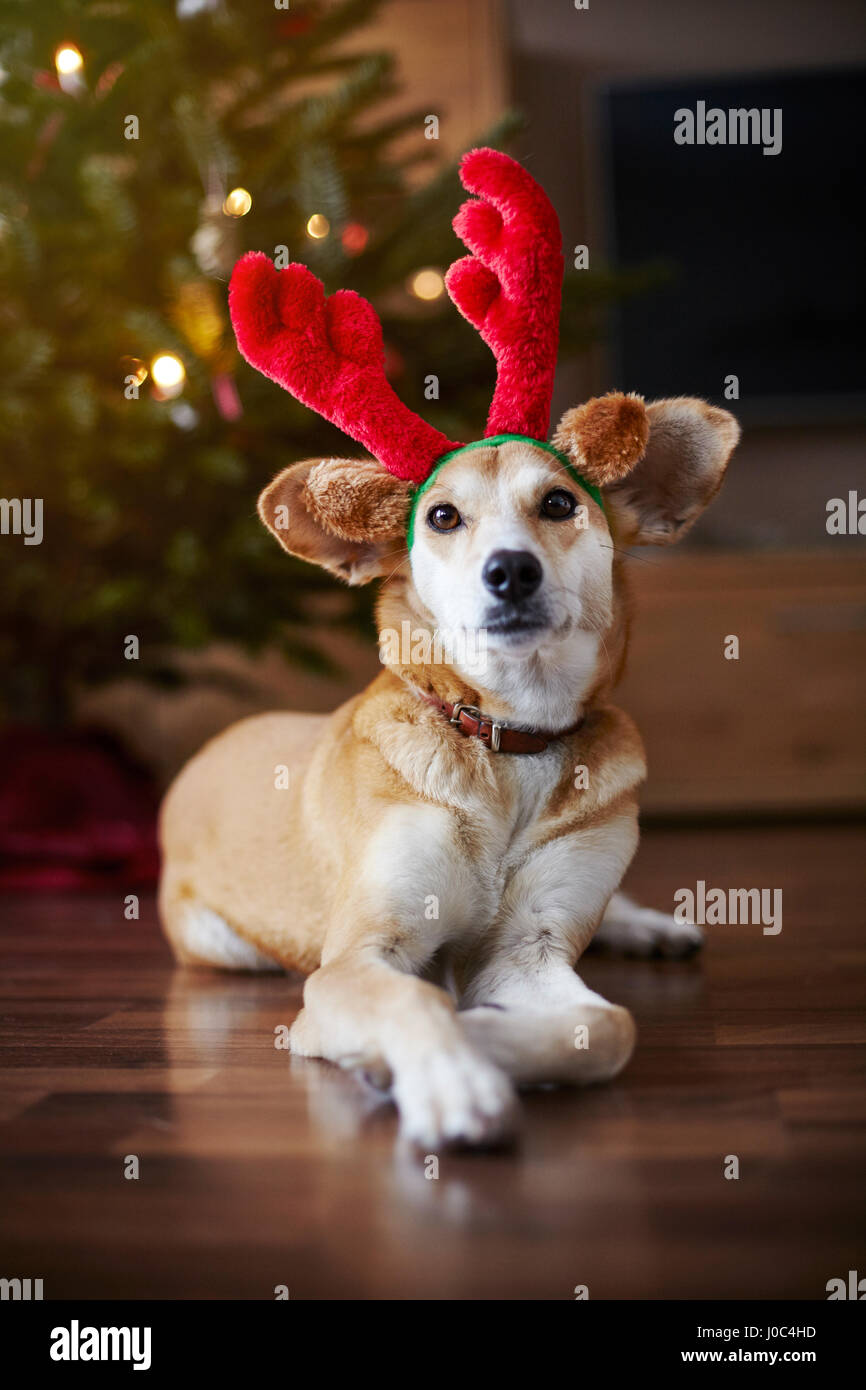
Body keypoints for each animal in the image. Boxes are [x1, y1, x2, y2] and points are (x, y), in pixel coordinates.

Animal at [157, 152, 739, 1150]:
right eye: (440, 517)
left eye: (560, 503)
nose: (510, 572)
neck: (506, 743)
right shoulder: (357, 958)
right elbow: (414, 1000)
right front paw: (446, 1077)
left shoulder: (531, 952)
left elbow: (607, 1026)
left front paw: (486, 1044)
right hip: (219, 942)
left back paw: (647, 927)